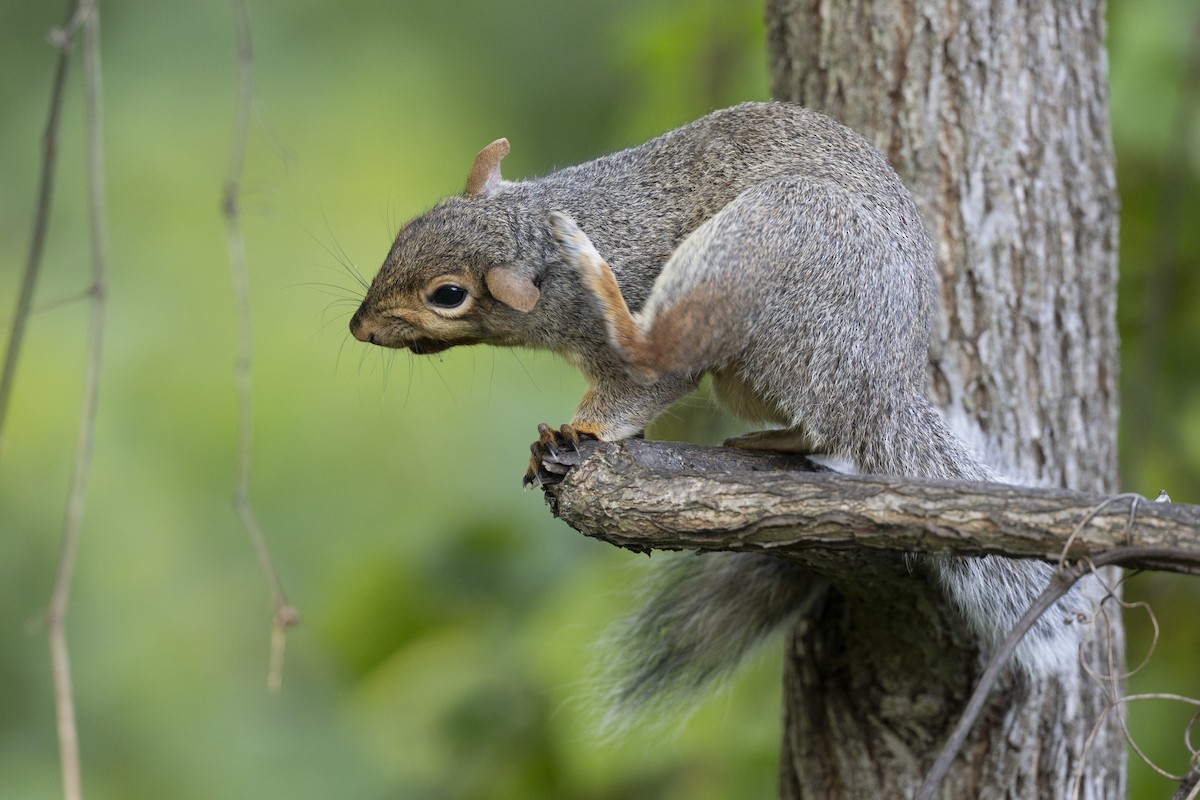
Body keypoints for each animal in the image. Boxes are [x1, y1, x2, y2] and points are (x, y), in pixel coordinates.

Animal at [349, 101, 1085, 717]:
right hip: (753, 367)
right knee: (822, 427)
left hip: (768, 239)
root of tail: (880, 384)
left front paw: (582, 428)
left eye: (448, 295)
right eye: (407, 229)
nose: (359, 327)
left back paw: (597, 271)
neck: (539, 247)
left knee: (660, 347)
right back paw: (774, 441)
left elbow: (645, 385)